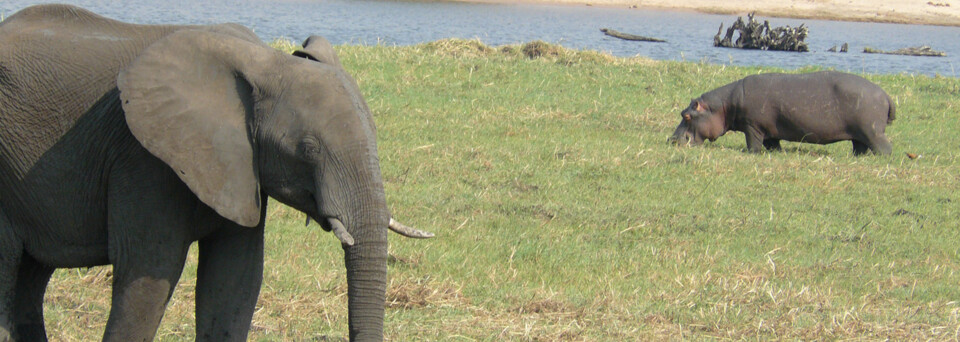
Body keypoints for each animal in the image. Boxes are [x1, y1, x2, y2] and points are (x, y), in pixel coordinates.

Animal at [0, 3, 432, 342]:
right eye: (307, 149)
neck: (265, 61)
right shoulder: (144, 159)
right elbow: (149, 274)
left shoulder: (240, 168)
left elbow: (235, 279)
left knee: (30, 279)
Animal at [672, 71, 896, 156]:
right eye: (683, 111)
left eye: (687, 116)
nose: (671, 139)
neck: (724, 106)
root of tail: (886, 94)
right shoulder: (770, 130)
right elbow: (773, 144)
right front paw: (777, 153)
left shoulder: (753, 126)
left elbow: (753, 143)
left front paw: (750, 153)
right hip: (859, 135)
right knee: (860, 148)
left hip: (872, 131)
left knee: (884, 148)